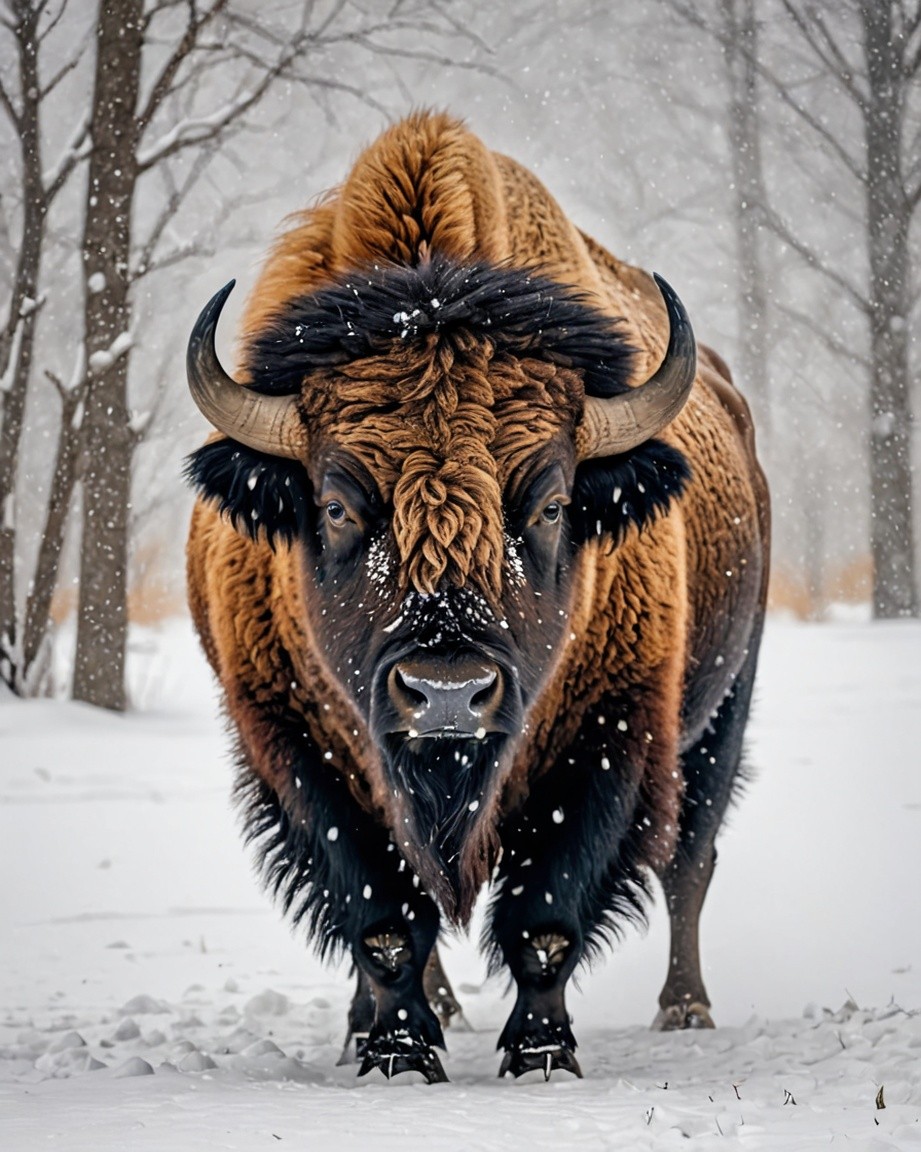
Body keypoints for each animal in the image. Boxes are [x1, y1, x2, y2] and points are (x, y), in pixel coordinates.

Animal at [185, 111, 769, 1082]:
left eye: (552, 503)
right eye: (336, 504)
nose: (448, 693)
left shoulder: (608, 733)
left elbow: (545, 918)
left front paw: (541, 1056)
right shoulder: (299, 747)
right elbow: (383, 920)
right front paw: (397, 1052)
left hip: (721, 713)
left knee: (690, 859)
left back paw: (684, 1009)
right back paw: (384, 1025)